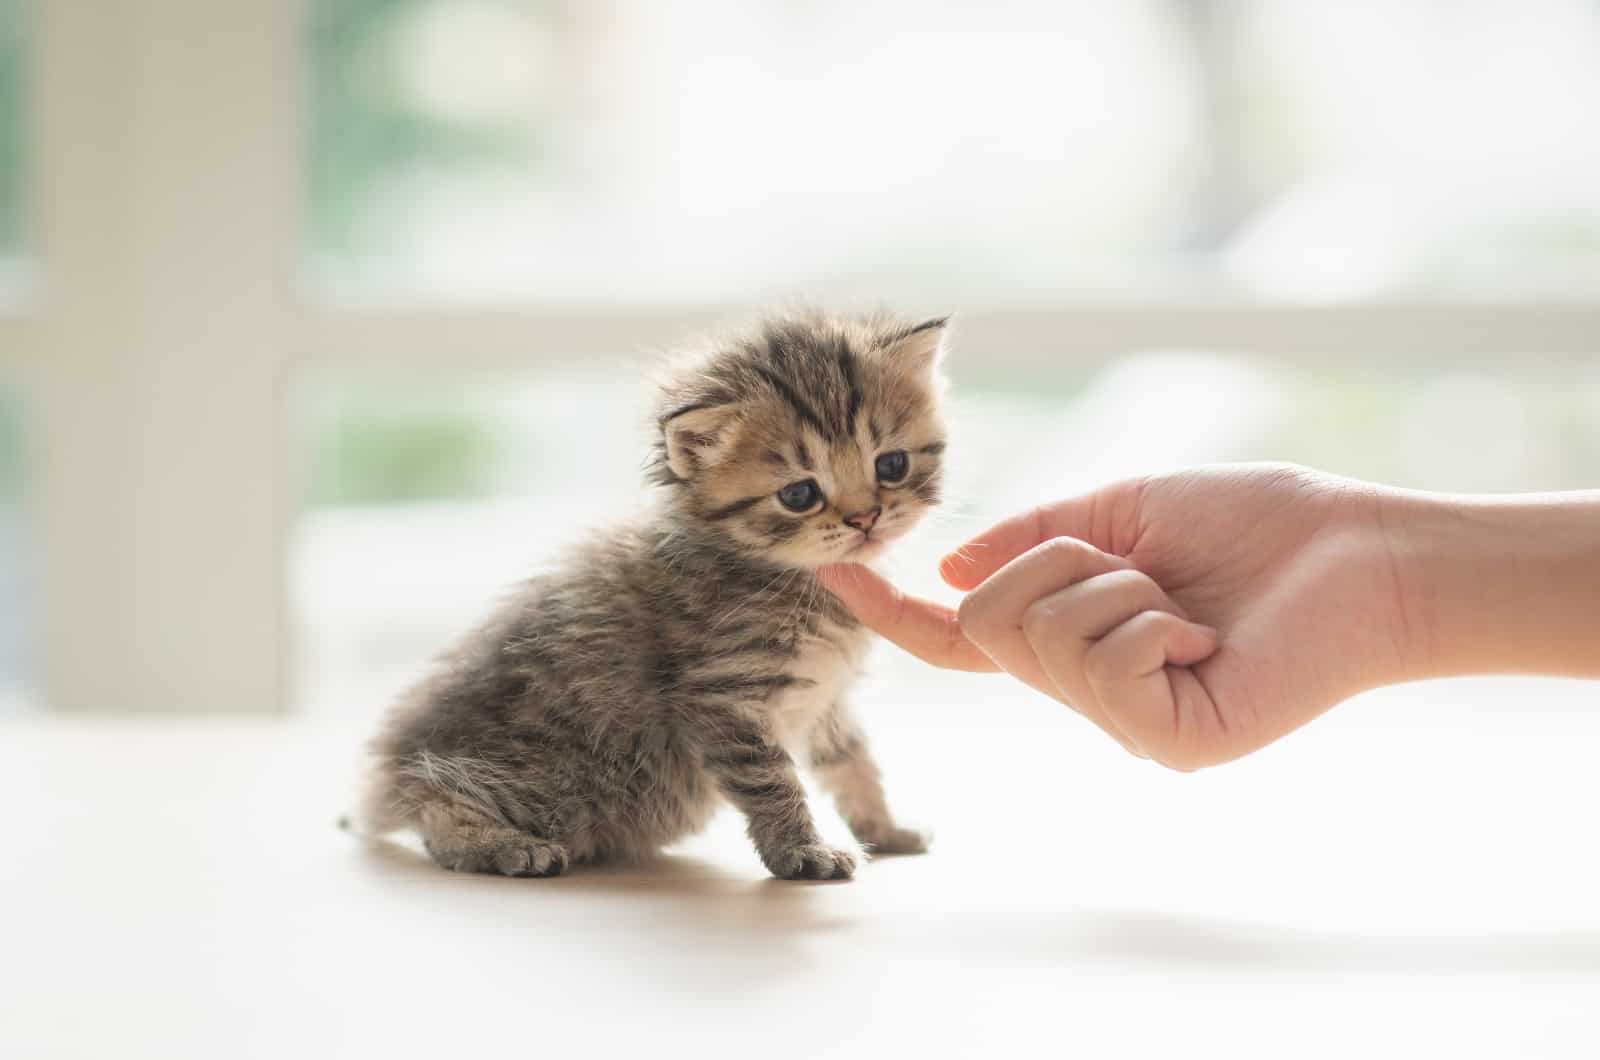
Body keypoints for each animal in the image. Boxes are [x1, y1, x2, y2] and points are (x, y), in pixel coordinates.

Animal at [360, 309, 947, 877]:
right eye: (799, 495)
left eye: (891, 465)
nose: (865, 518)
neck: (795, 580)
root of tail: (395, 761)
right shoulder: (723, 694)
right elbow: (773, 781)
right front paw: (804, 852)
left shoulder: (827, 698)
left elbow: (853, 762)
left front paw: (885, 830)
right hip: (549, 776)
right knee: (437, 802)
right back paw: (504, 845)